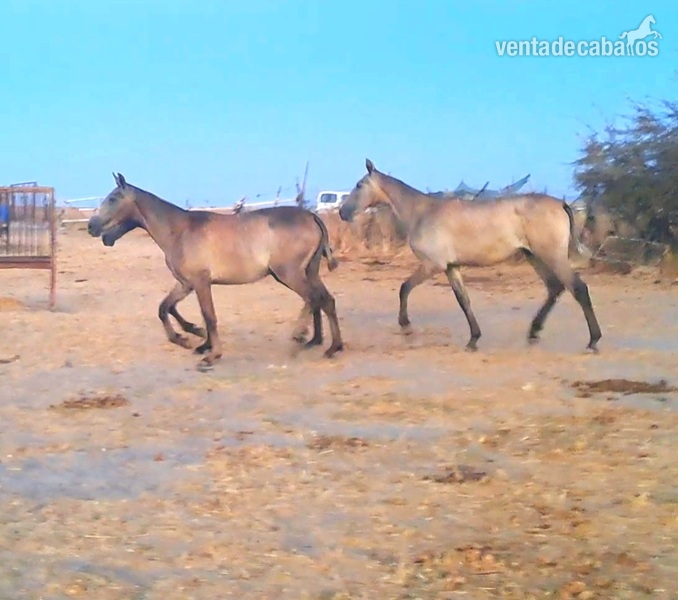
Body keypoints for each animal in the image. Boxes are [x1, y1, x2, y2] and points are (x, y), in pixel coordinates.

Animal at [88, 173, 344, 370]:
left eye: (113, 199)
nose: (92, 226)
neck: (180, 231)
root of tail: (312, 215)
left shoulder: (201, 282)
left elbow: (208, 315)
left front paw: (211, 354)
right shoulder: (186, 283)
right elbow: (166, 308)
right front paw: (191, 338)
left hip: (288, 274)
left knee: (313, 298)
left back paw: (299, 335)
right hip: (309, 271)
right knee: (326, 300)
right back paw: (328, 345)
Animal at [339, 159, 602, 353]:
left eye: (359, 185)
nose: (342, 212)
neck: (422, 212)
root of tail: (561, 204)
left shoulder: (432, 265)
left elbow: (405, 288)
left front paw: (406, 325)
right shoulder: (450, 267)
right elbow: (463, 300)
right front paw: (474, 338)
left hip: (551, 256)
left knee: (578, 288)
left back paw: (593, 339)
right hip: (533, 256)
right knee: (555, 288)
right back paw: (534, 331)